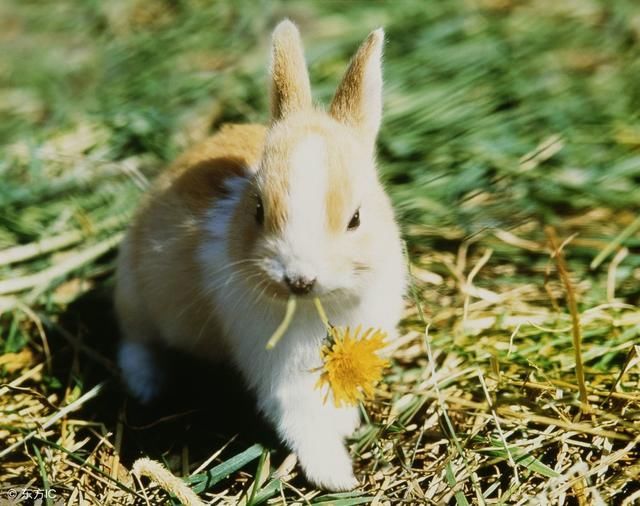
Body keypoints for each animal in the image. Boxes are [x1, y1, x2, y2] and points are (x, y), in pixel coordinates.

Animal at [114, 18, 404, 490]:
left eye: (356, 218)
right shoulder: (279, 369)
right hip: (134, 294)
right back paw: (147, 386)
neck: (317, 304)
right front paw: (337, 477)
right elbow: (301, 418)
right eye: (258, 210)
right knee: (136, 342)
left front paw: (345, 426)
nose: (299, 278)